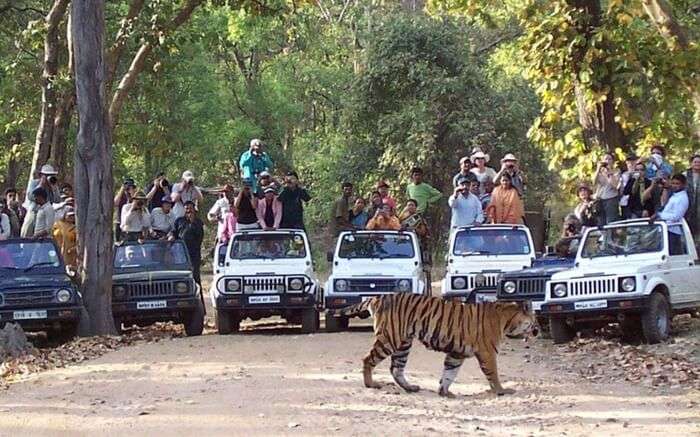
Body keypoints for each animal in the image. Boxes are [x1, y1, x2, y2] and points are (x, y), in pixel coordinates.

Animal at [336, 292, 540, 396]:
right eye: (534, 319)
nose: (538, 330)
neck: (507, 319)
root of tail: (378, 297)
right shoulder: (488, 353)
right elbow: (494, 374)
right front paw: (501, 390)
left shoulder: (457, 353)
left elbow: (449, 372)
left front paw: (444, 391)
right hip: (389, 338)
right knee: (368, 359)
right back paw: (371, 384)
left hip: (403, 343)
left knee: (396, 369)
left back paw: (410, 388)